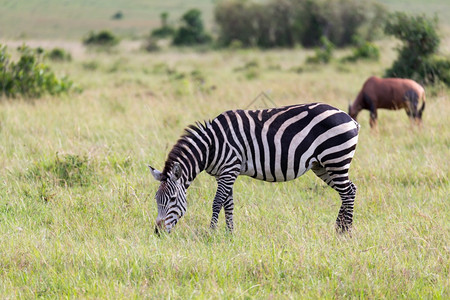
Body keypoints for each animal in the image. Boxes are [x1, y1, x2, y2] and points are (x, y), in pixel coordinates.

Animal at [149, 103, 360, 234]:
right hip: (323, 165)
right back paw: (339, 228)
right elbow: (228, 203)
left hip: (336, 157)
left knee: (348, 192)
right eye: (156, 199)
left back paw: (346, 232)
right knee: (349, 190)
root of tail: (349, 118)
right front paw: (229, 234)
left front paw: (211, 232)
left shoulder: (229, 169)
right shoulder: (224, 173)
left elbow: (217, 202)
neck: (211, 146)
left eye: (173, 199)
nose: (158, 232)